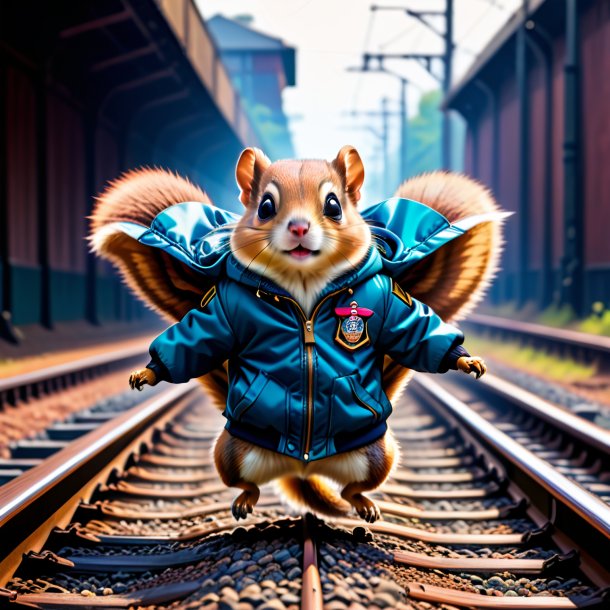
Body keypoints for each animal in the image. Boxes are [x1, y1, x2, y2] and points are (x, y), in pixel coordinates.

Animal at [88, 145, 502, 520]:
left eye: (334, 205)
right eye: (265, 207)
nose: (299, 227)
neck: (302, 286)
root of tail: (304, 465)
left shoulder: (388, 296)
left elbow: (415, 329)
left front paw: (465, 360)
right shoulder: (224, 305)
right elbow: (200, 335)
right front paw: (148, 372)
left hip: (378, 455)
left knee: (353, 488)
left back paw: (364, 505)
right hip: (231, 453)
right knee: (247, 483)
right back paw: (246, 501)